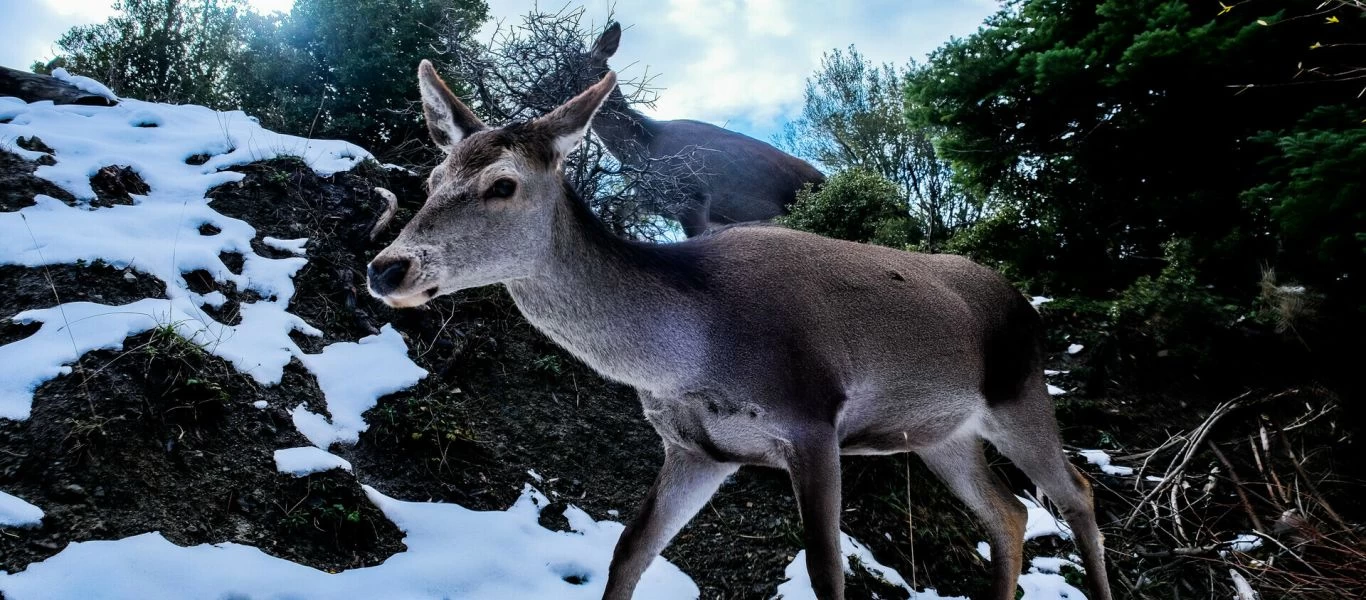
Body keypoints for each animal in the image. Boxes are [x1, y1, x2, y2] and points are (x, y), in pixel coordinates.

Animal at [371, 59, 1109, 600]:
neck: (692, 353)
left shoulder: (812, 416)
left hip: (1020, 393)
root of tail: (1027, 303)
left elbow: (826, 572)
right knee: (1009, 513)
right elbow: (629, 551)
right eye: (434, 177)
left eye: (503, 184)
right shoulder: (699, 449)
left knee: (1075, 490)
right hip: (939, 434)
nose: (386, 267)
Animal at [557, 23, 825, 239]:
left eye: (567, 69)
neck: (643, 149)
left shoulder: (692, 195)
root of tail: (822, 178)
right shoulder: (651, 201)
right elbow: (616, 213)